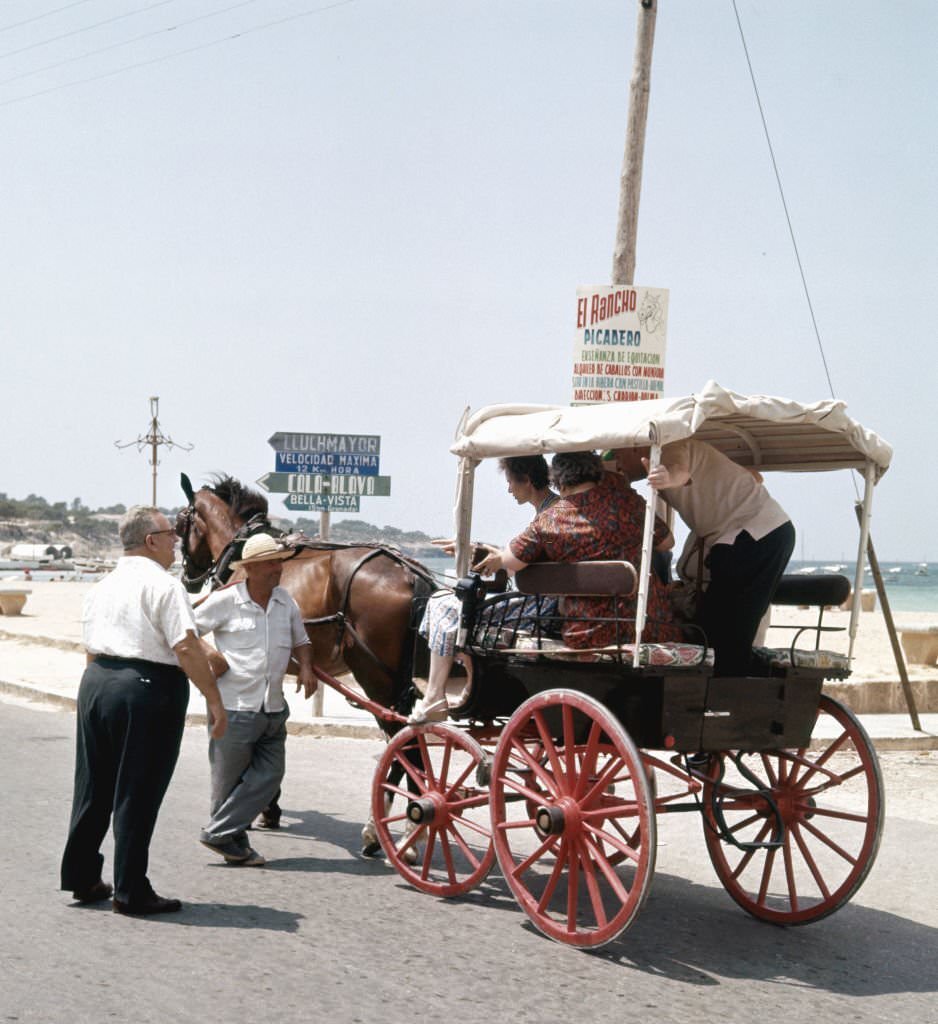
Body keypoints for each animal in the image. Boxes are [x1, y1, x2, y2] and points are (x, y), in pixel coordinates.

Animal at [176, 475, 440, 851]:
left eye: (180, 525)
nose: (187, 577)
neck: (245, 549)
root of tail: (407, 571)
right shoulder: (278, 669)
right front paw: (268, 805)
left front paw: (254, 804)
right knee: (410, 742)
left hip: (376, 679)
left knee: (404, 742)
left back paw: (393, 829)